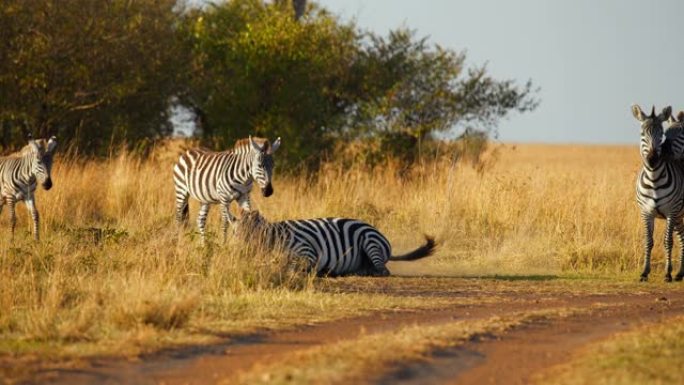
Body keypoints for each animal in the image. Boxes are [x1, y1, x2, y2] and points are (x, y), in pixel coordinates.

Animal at [238, 210, 436, 276]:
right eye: (236, 232)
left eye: (246, 232)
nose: (239, 252)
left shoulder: (307, 251)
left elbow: (291, 267)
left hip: (369, 240)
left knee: (383, 270)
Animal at [632, 103, 684, 280]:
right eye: (642, 133)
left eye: (660, 134)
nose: (653, 160)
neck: (654, 179)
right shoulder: (646, 212)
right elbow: (648, 241)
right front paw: (644, 272)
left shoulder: (671, 212)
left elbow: (668, 241)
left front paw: (667, 273)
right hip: (679, 216)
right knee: (683, 238)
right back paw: (680, 273)